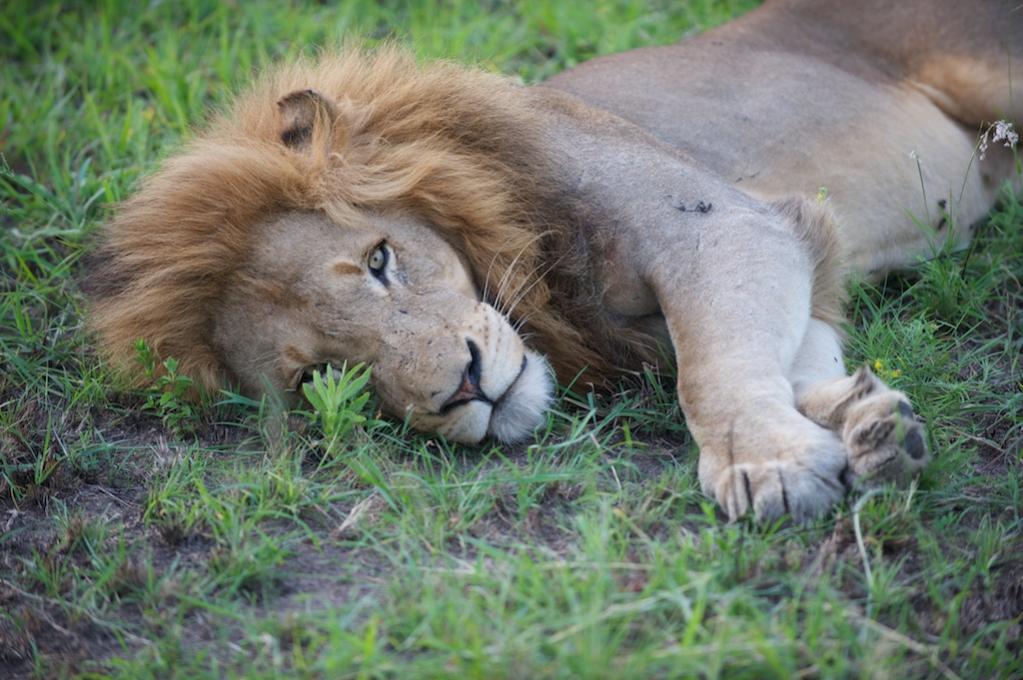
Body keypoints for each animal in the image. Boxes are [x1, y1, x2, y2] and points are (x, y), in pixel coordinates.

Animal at [87, 0, 1022, 522]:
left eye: (381, 260)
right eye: (321, 376)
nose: (461, 389)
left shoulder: (724, 226)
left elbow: (711, 374)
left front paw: (766, 466)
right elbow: (783, 360)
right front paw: (864, 424)